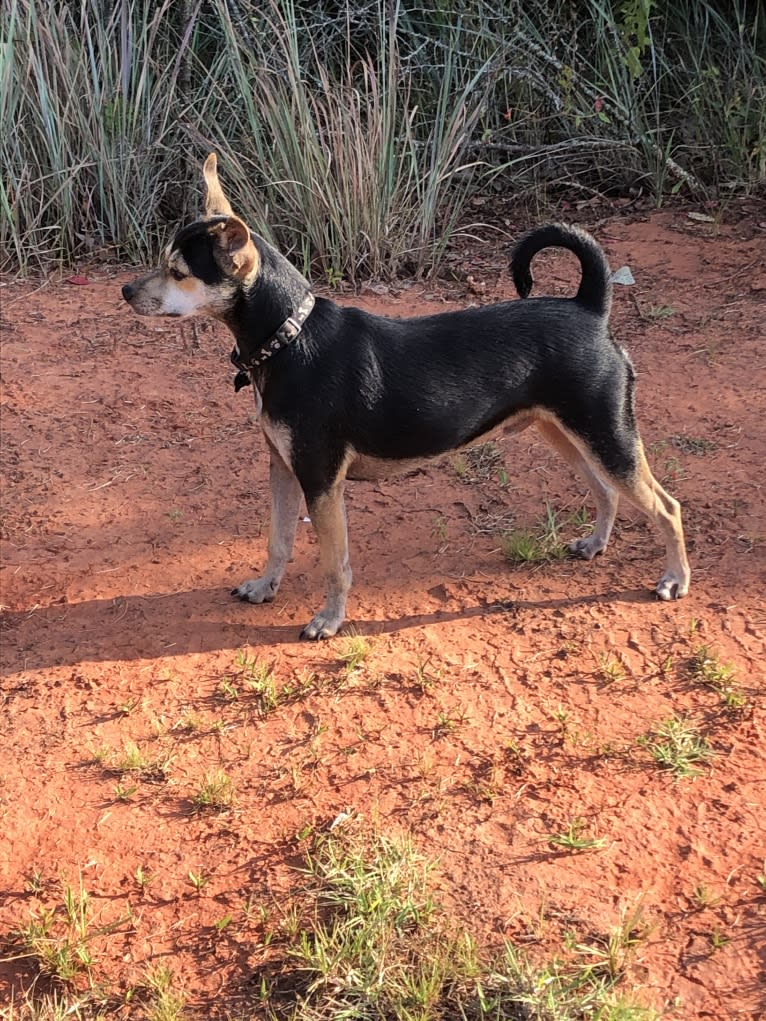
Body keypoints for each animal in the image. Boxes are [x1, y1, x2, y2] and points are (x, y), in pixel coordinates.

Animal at [123, 153, 694, 637]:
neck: (290, 335)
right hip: (565, 432)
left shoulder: (321, 482)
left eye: (178, 272)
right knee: (606, 491)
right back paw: (596, 545)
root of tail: (589, 308)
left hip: (608, 436)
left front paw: (329, 620)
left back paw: (675, 579)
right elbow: (278, 541)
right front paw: (266, 588)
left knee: (666, 507)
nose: (126, 291)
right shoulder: (282, 468)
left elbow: (334, 564)